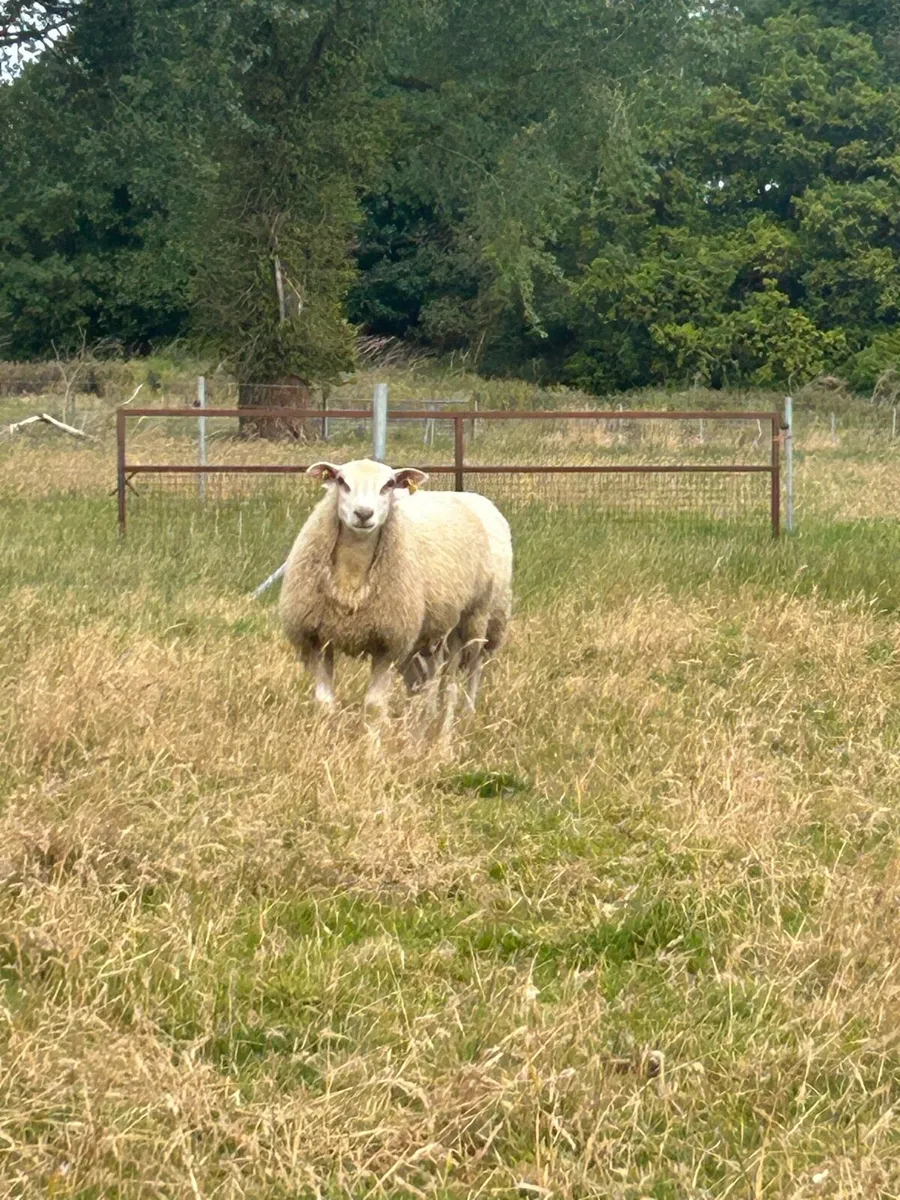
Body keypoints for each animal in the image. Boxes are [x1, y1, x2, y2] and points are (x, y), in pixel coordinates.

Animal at [279, 458, 512, 718]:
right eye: (341, 481)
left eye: (389, 485)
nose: (363, 513)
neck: (352, 573)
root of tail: (467, 496)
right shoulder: (316, 638)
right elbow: (324, 703)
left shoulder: (389, 642)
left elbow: (373, 706)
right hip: (433, 632)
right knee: (429, 679)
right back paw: (425, 718)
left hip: (478, 616)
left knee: (466, 673)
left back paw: (460, 718)